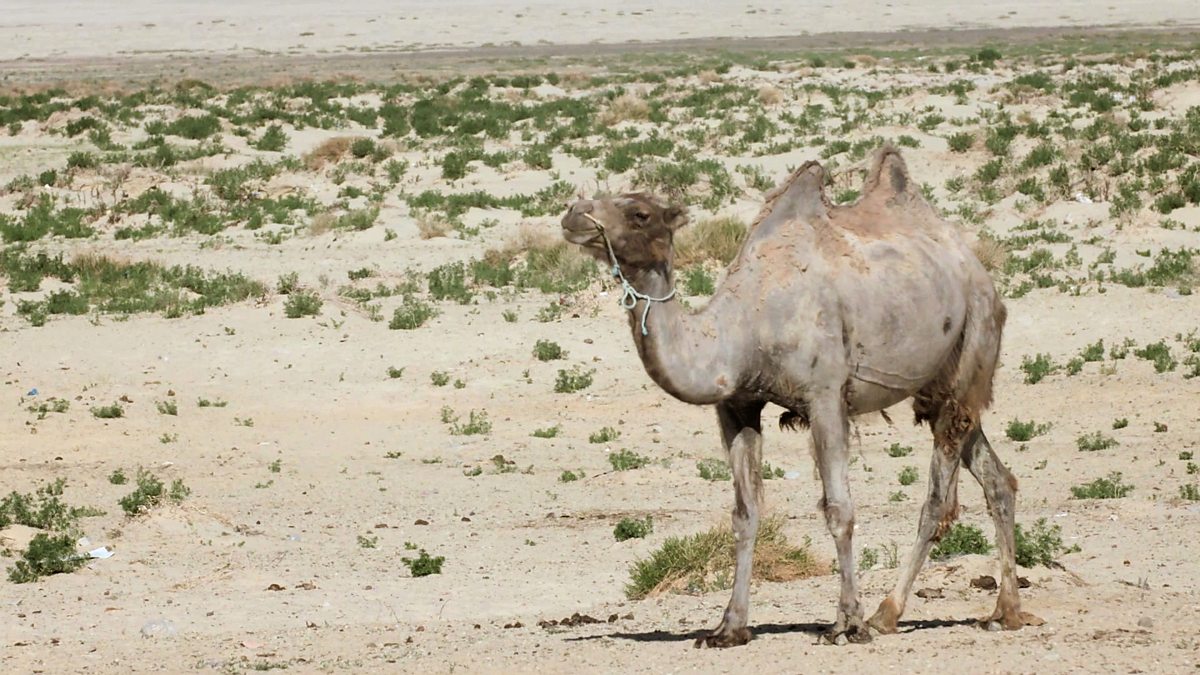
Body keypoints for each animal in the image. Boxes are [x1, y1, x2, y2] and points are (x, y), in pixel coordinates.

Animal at [559, 146, 1042, 647]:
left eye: (639, 213)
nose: (573, 214)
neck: (744, 327)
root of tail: (977, 268)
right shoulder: (737, 406)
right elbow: (746, 513)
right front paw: (729, 627)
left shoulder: (825, 396)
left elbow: (839, 509)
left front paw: (847, 623)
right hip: (941, 384)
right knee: (996, 478)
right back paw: (1005, 611)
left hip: (974, 339)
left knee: (938, 499)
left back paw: (885, 614)